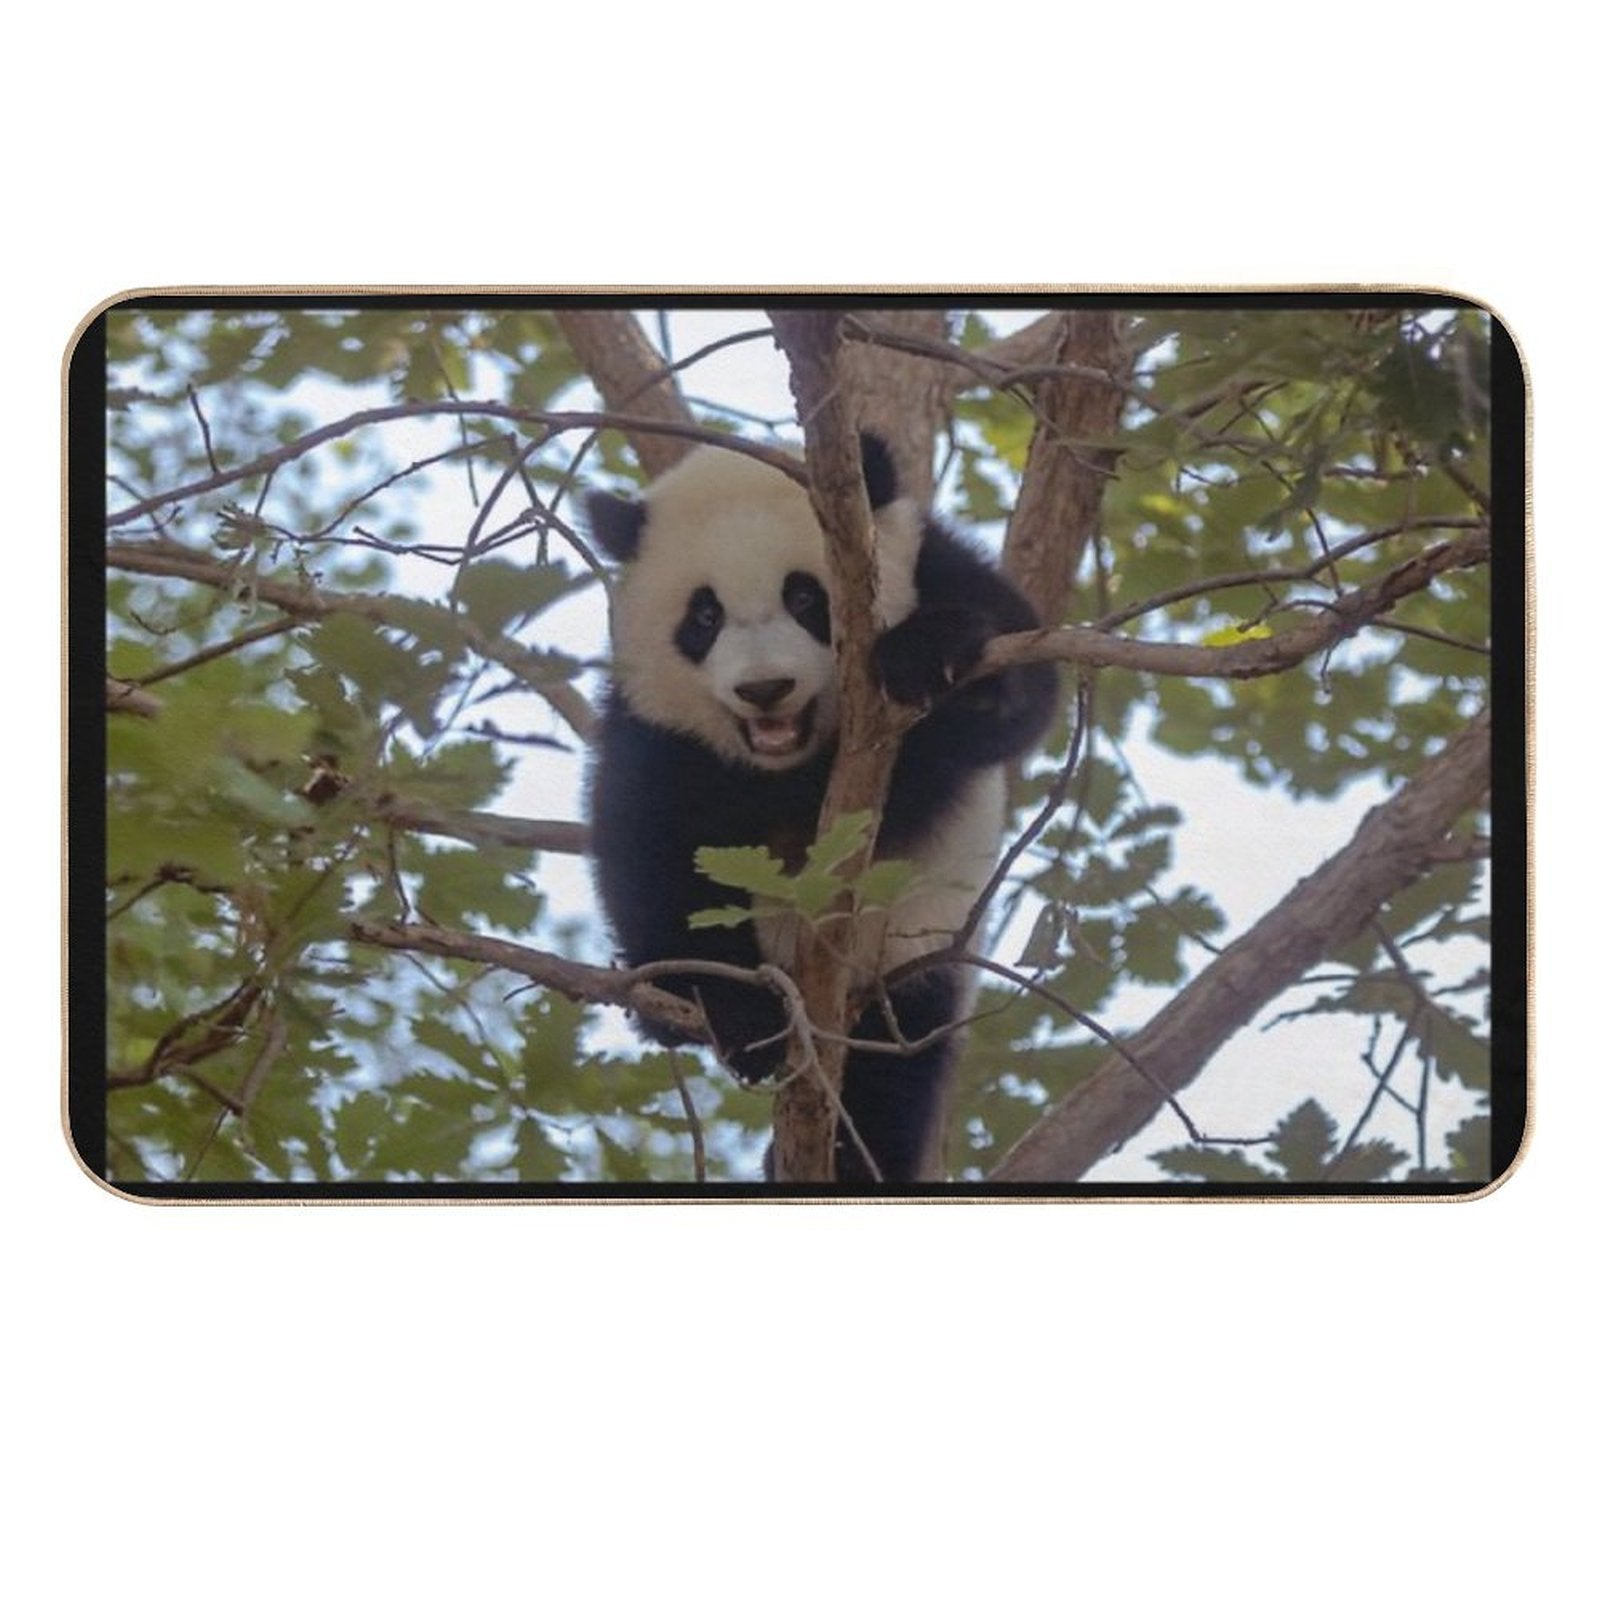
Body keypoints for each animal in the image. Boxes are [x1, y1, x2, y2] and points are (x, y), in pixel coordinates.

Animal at [585, 433, 1057, 1182]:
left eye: (805, 595)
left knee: (892, 1070)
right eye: (705, 616)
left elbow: (1019, 689)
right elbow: (652, 847)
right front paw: (739, 1018)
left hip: (910, 953)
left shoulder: (939, 566)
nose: (765, 689)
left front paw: (933, 658)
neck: (792, 765)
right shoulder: (655, 729)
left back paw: (852, 1158)